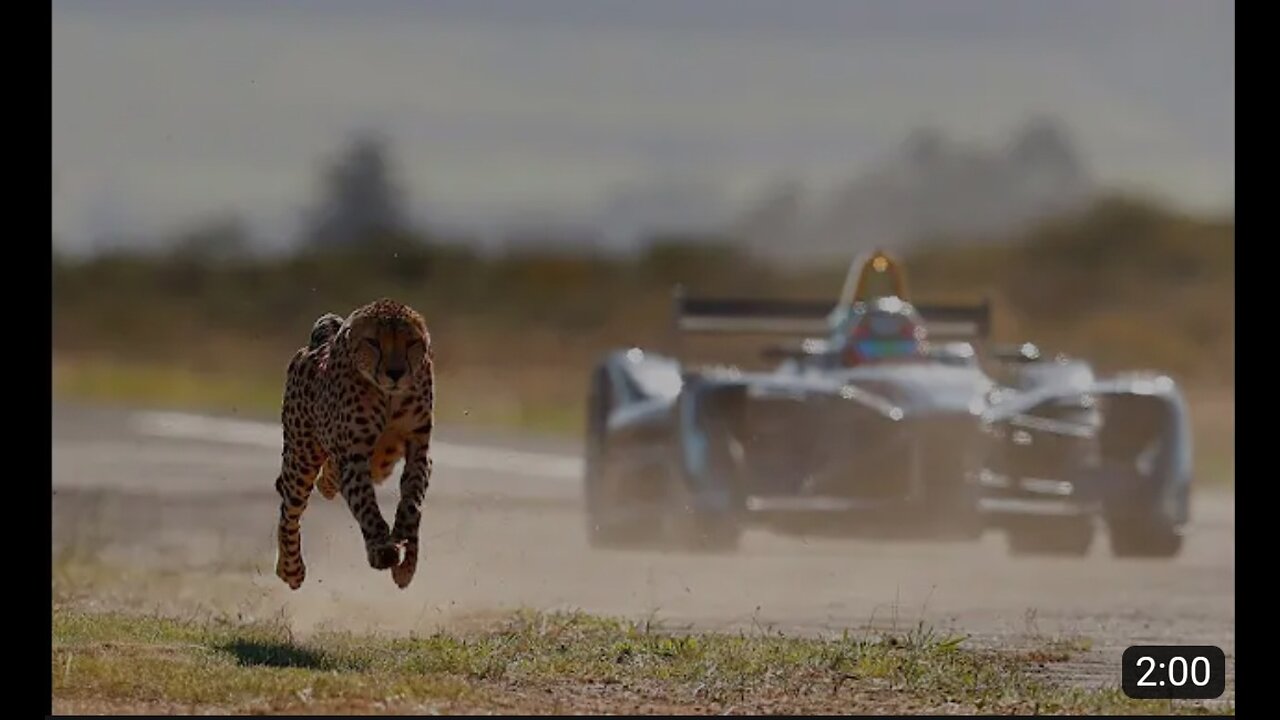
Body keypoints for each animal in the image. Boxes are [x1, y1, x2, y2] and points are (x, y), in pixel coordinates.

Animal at [272, 297, 437, 589]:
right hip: (302, 457)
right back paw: (290, 568)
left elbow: (412, 502)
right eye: (373, 342)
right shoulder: (353, 456)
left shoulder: (419, 449)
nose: (395, 372)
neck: (388, 397)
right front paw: (382, 548)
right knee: (289, 507)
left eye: (410, 342)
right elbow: (365, 504)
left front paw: (406, 558)